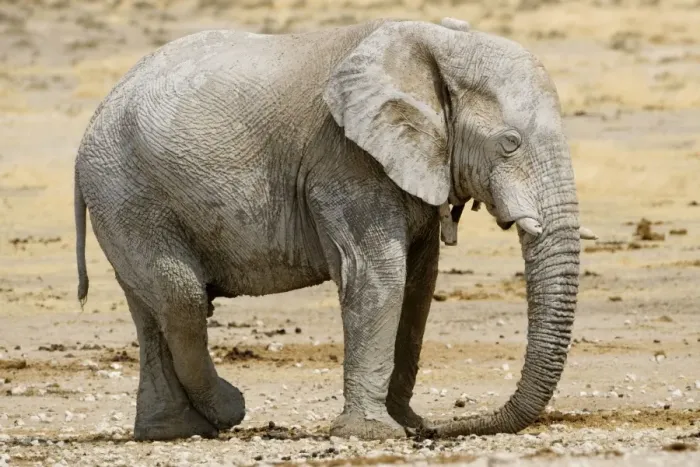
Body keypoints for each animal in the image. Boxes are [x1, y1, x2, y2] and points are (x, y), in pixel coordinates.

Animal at [73, 16, 598, 441]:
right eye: (509, 143)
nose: (437, 430)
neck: (436, 44)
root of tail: (93, 122)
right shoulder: (344, 161)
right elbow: (377, 275)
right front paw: (373, 434)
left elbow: (418, 285)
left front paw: (403, 424)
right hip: (128, 196)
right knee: (182, 298)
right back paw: (227, 411)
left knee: (152, 310)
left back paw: (172, 432)